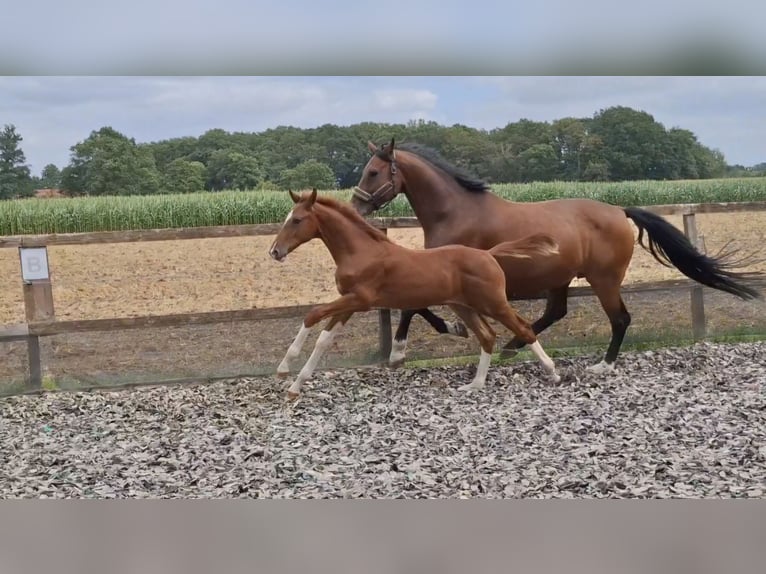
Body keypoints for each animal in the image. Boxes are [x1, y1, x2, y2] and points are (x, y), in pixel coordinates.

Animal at [268, 188, 563, 399]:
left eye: (297, 220)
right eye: (286, 218)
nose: (274, 251)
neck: (361, 252)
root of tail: (488, 254)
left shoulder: (360, 300)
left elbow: (312, 314)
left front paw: (284, 368)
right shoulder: (349, 304)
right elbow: (324, 340)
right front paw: (294, 384)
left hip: (493, 303)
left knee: (522, 327)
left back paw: (552, 372)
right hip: (463, 306)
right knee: (487, 335)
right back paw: (475, 385)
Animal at [351, 138, 763, 374]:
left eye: (373, 172)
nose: (357, 206)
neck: (455, 211)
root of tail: (620, 211)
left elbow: (411, 308)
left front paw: (401, 352)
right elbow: (412, 307)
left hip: (604, 279)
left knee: (620, 319)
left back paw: (602, 366)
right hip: (561, 278)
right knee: (556, 312)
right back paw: (513, 347)